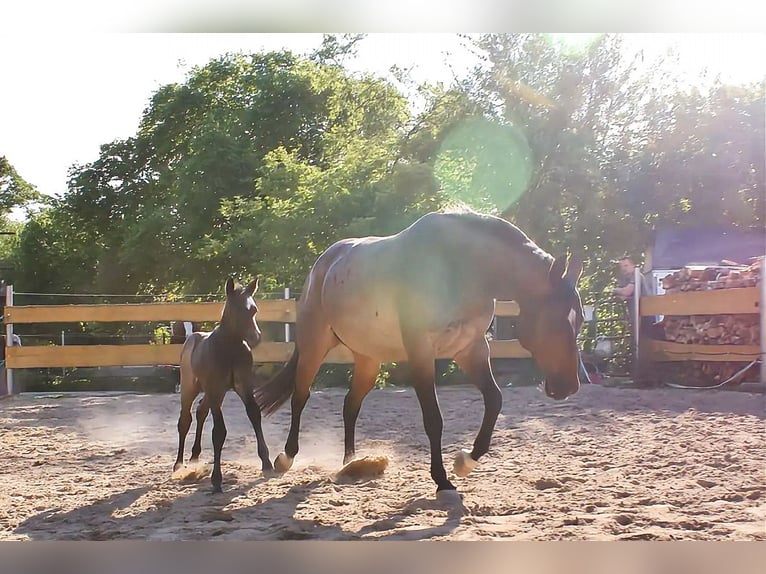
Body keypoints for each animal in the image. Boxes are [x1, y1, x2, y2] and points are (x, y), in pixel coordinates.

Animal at [174, 277, 273, 492]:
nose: (256, 338)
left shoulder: (244, 386)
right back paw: (178, 465)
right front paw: (217, 480)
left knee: (201, 411)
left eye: (254, 309)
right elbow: (219, 432)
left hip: (212, 393)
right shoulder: (216, 388)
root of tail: (191, 337)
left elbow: (254, 414)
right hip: (191, 388)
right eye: (236, 309)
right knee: (185, 420)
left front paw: (267, 464)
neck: (230, 349)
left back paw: (195, 457)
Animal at [254, 210, 584, 501]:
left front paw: (465, 461)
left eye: (579, 319)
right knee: (300, 397)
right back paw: (286, 458)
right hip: (314, 347)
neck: (460, 267)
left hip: (368, 359)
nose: (568, 386)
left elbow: (495, 400)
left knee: (350, 405)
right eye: (556, 321)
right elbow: (433, 419)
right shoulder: (422, 353)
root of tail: (322, 265)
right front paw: (443, 481)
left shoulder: (471, 349)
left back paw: (351, 462)